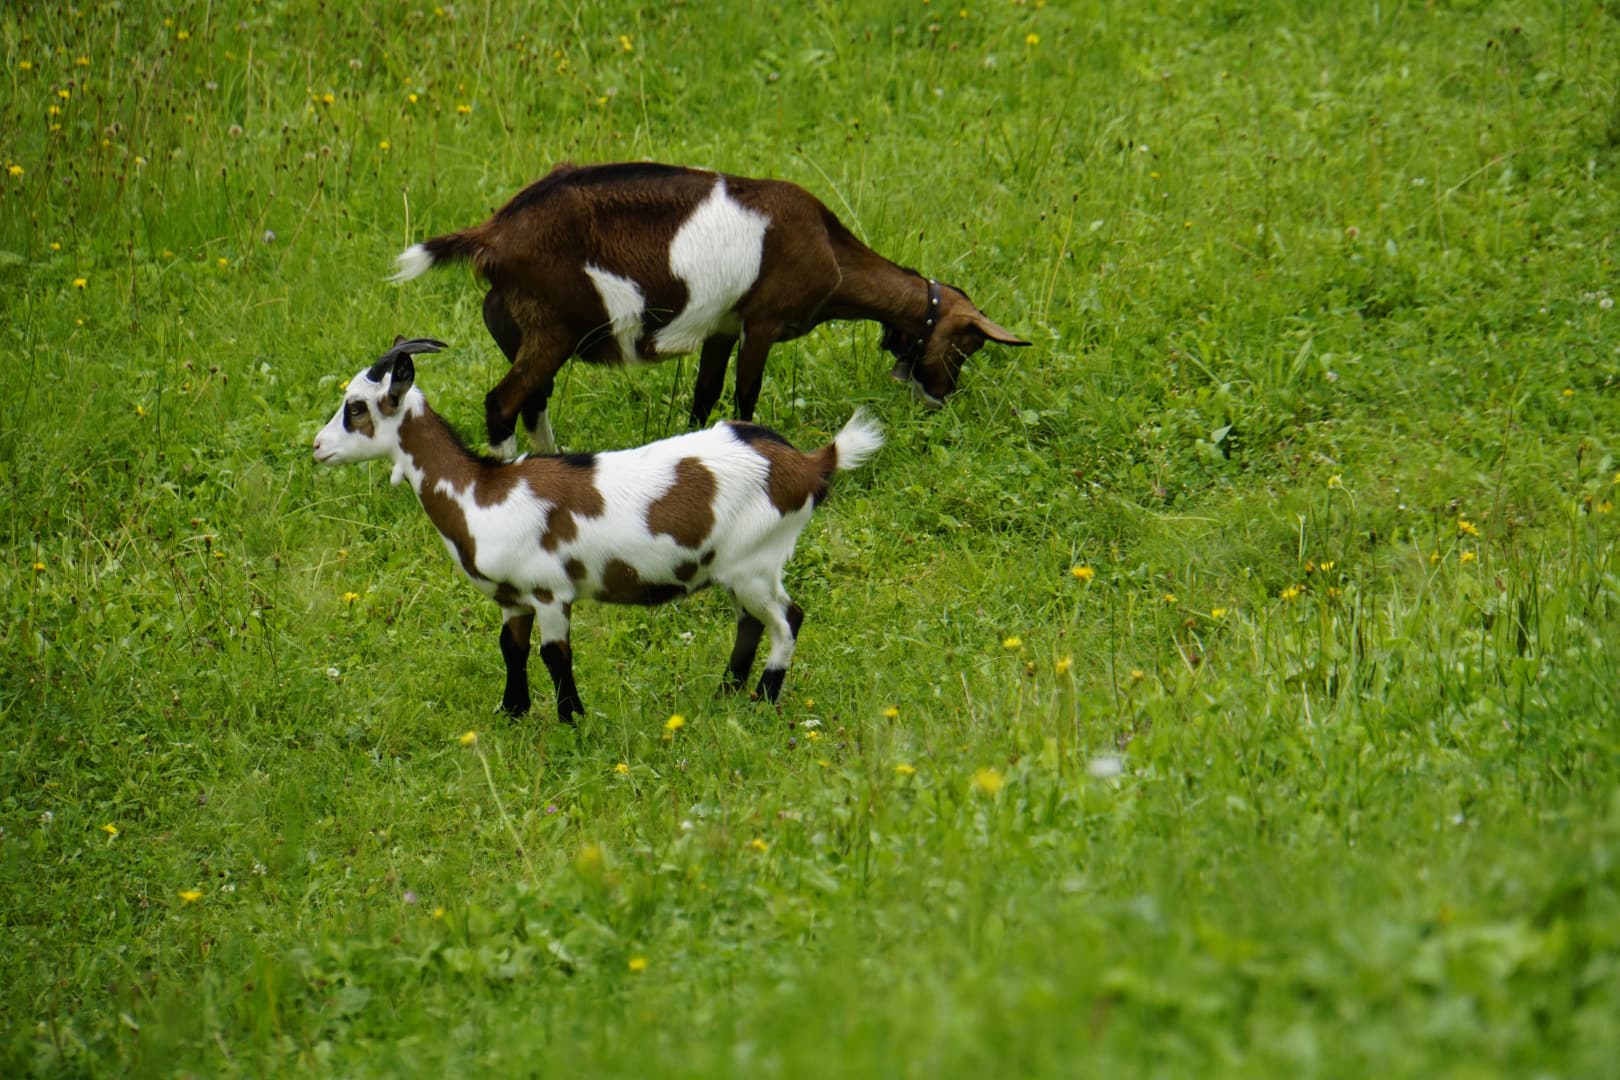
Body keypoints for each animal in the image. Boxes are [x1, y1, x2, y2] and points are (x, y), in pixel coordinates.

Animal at [312, 337, 884, 724]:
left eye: (356, 407)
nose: (317, 447)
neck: (479, 492)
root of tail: (809, 463)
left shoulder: (549, 592)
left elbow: (555, 655)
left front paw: (572, 720)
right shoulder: (512, 599)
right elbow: (511, 648)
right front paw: (511, 714)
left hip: (757, 562)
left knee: (787, 619)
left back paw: (763, 697)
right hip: (737, 568)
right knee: (751, 623)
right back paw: (725, 693)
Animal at [390, 161, 1028, 455]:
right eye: (967, 344)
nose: (939, 398)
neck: (828, 247)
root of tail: (496, 233)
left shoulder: (721, 324)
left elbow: (704, 393)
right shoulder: (761, 323)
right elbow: (745, 393)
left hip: (522, 331)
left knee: (532, 400)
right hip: (552, 327)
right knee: (502, 403)